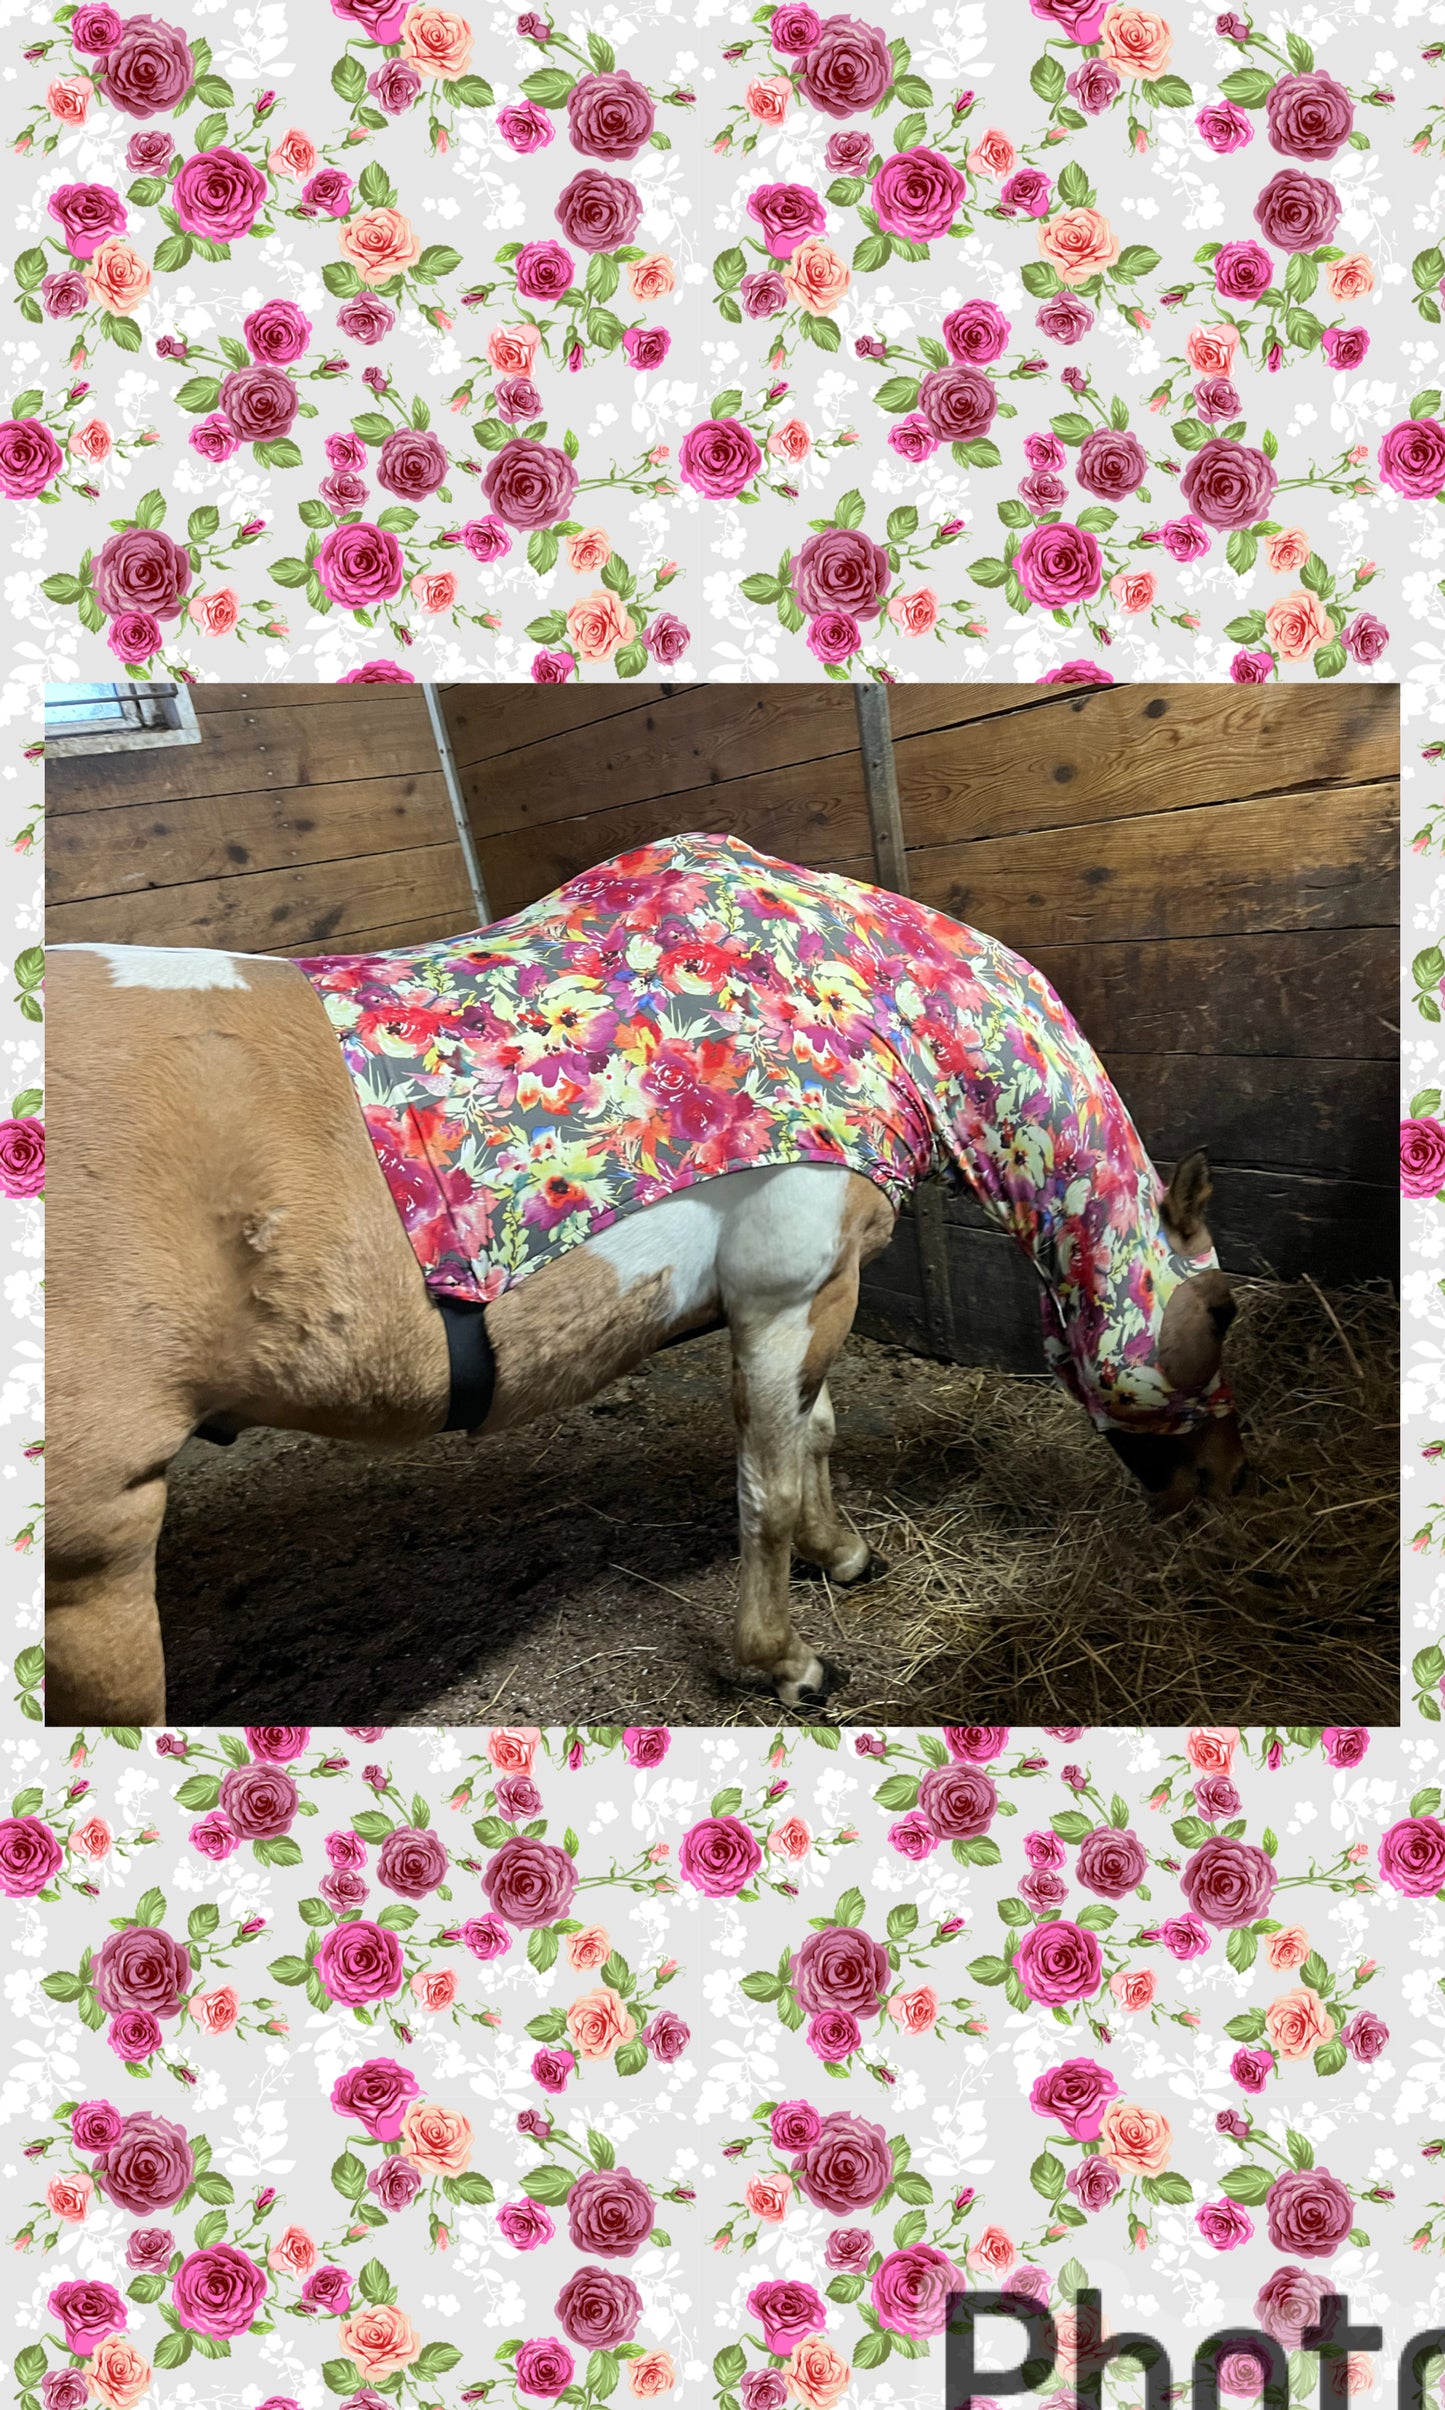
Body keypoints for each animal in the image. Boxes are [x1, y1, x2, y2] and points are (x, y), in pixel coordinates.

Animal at [46, 833, 1245, 1726]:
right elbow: (765, 1487)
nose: (1224, 1483)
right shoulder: (786, 1298)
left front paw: (841, 1552)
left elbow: (813, 1434)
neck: (847, 991)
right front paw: (782, 1660)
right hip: (91, 1563)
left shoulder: (812, 1307)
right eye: (1222, 1314)